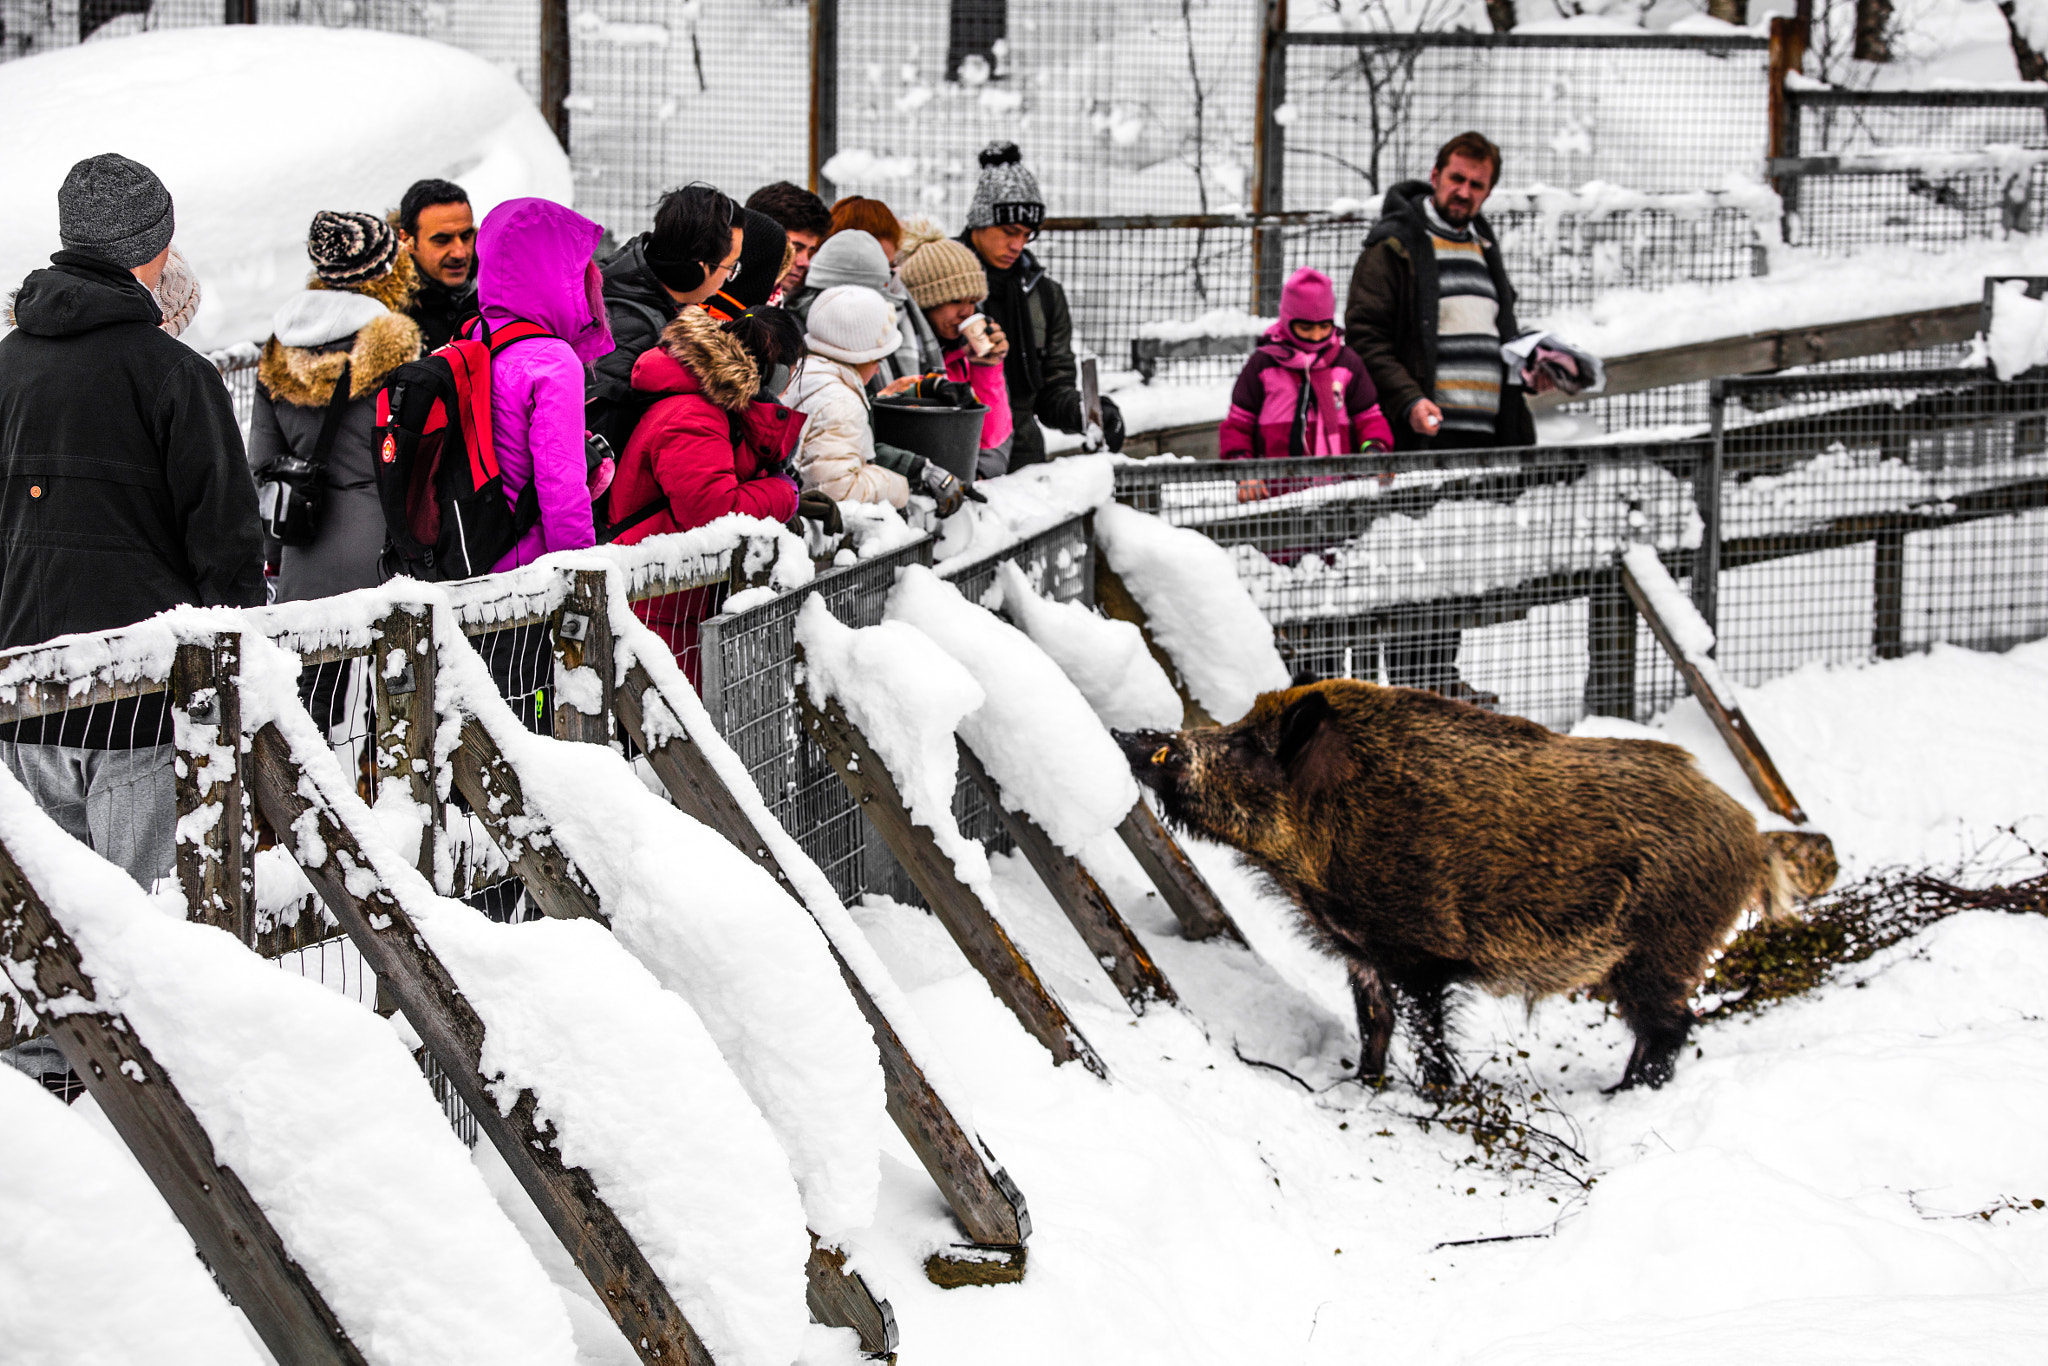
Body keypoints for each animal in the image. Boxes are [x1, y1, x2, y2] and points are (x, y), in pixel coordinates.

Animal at [1116, 680, 1792, 1091]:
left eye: (1247, 745)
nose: (1135, 736)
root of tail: (1751, 838)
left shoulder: (1418, 954)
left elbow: (1425, 1031)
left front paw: (1436, 1098)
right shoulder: (1361, 952)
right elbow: (1374, 1022)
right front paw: (1361, 1086)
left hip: (1660, 950)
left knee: (1674, 1026)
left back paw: (1620, 1094)